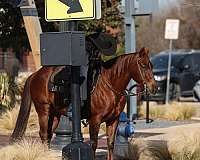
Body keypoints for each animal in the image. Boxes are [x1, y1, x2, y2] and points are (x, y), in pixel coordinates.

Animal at [10, 47, 157, 159]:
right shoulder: (95, 120)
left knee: (48, 135)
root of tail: (35, 74)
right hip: (43, 111)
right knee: (44, 134)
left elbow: (110, 144)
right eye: (143, 65)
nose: (154, 87)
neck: (110, 85)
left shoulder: (113, 120)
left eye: (151, 65)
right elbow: (93, 144)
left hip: (55, 115)